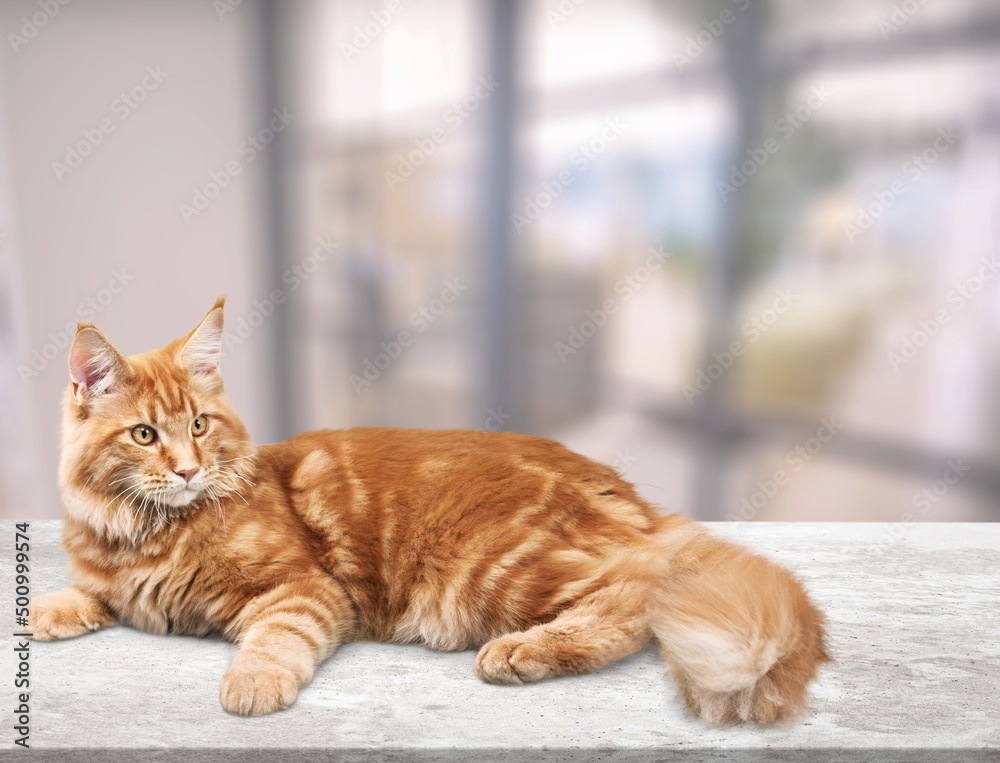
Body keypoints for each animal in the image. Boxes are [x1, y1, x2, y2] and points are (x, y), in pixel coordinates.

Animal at [31, 298, 828, 724]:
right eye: (145, 435)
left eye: (198, 425)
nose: (190, 469)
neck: (147, 534)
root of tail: (622, 489)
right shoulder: (117, 578)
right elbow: (89, 593)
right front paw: (45, 609)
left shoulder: (303, 588)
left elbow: (274, 638)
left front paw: (253, 682)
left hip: (491, 564)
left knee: (636, 596)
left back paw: (522, 652)